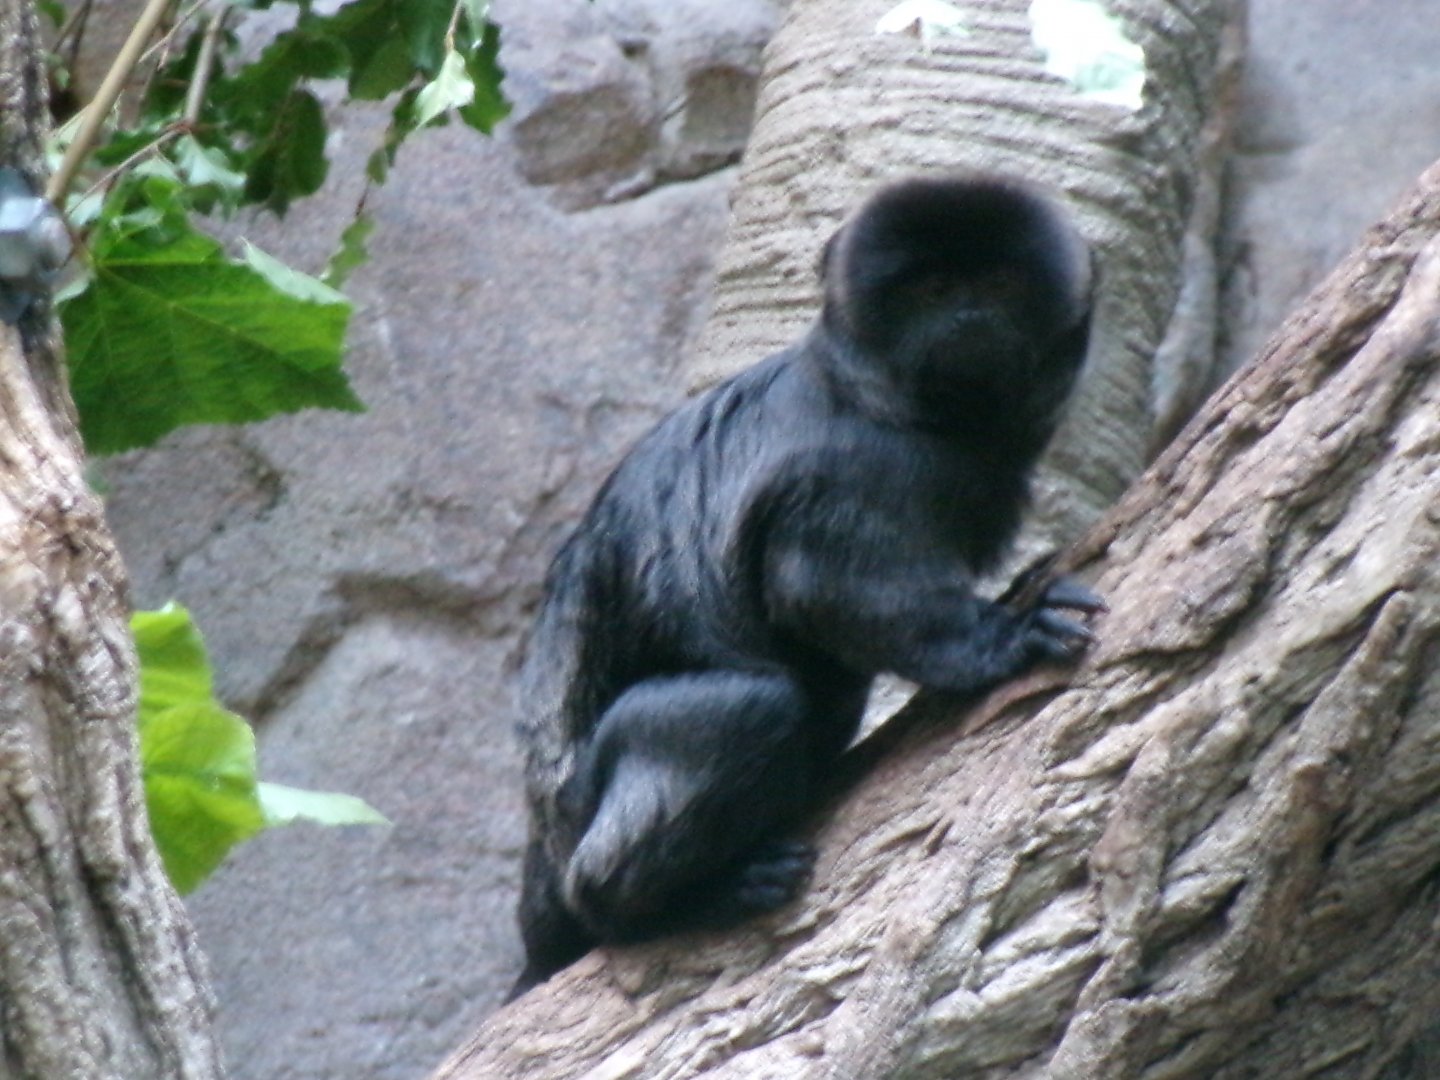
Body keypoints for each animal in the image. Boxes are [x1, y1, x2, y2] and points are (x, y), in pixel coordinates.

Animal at [510, 174, 1103, 996]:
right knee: (752, 707)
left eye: (999, 286)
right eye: (934, 290)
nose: (968, 316)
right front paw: (1009, 637)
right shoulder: (855, 466)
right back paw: (665, 904)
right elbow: (826, 587)